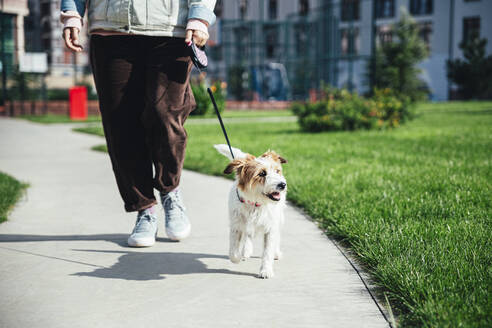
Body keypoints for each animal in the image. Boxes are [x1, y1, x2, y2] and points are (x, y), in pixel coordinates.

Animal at [213, 145, 286, 278]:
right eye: (262, 173)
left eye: (277, 171)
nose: (282, 185)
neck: (255, 204)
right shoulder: (236, 225)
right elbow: (233, 252)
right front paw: (237, 257)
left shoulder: (270, 227)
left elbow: (268, 251)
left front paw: (266, 270)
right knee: (248, 235)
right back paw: (246, 251)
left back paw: (276, 253)